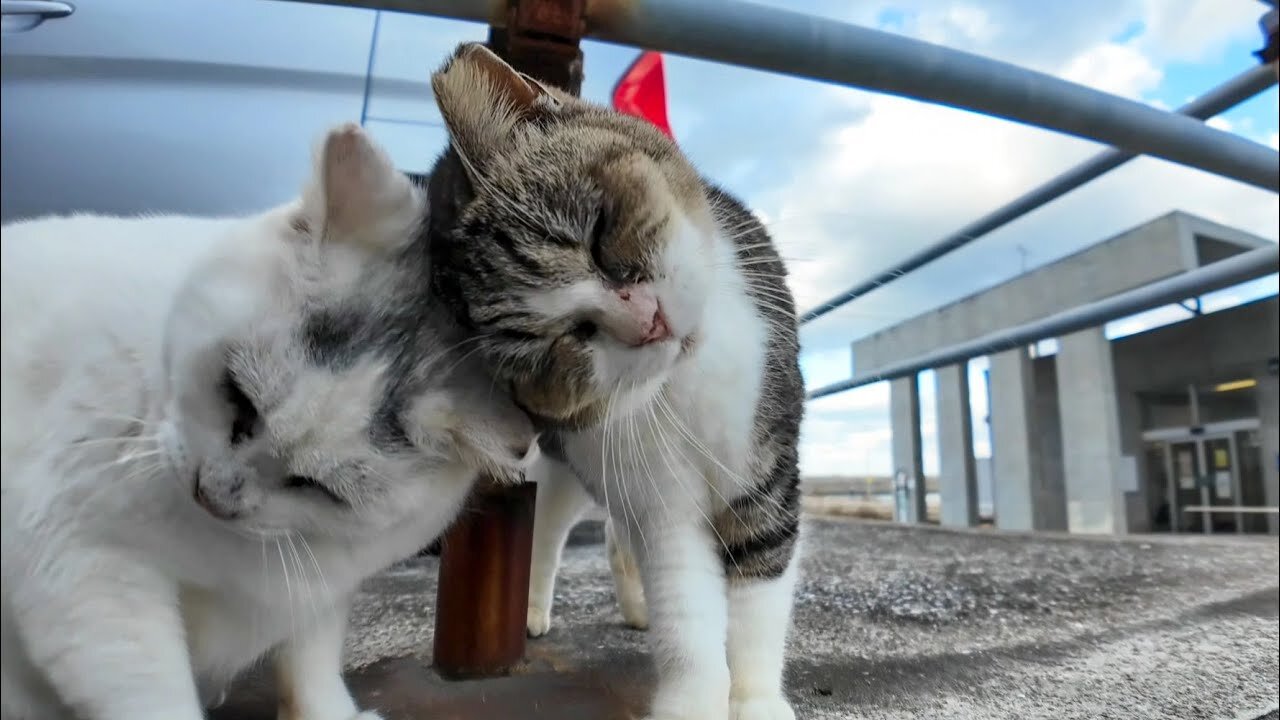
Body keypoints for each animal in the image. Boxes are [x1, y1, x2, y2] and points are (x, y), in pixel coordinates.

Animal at [0, 122, 529, 717]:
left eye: (317, 487)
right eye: (239, 398)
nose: (212, 497)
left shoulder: (315, 592)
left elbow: (311, 667)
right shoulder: (90, 567)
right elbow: (155, 695)